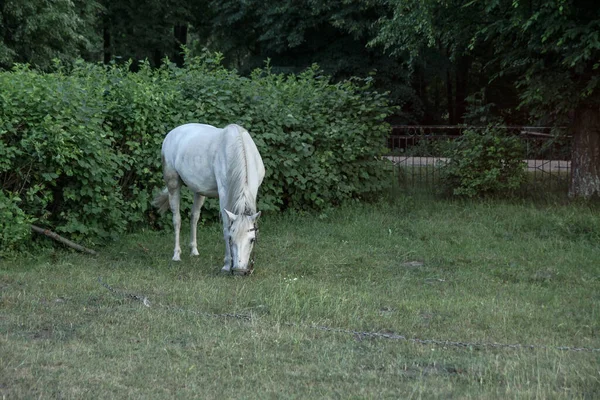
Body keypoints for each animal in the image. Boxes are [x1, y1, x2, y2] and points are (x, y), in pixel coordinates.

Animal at [155, 124, 264, 276]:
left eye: (252, 239)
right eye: (231, 238)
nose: (239, 271)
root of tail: (172, 133)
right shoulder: (224, 195)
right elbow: (225, 227)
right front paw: (226, 265)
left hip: (199, 191)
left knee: (194, 217)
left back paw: (194, 251)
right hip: (173, 184)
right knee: (177, 219)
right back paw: (176, 255)